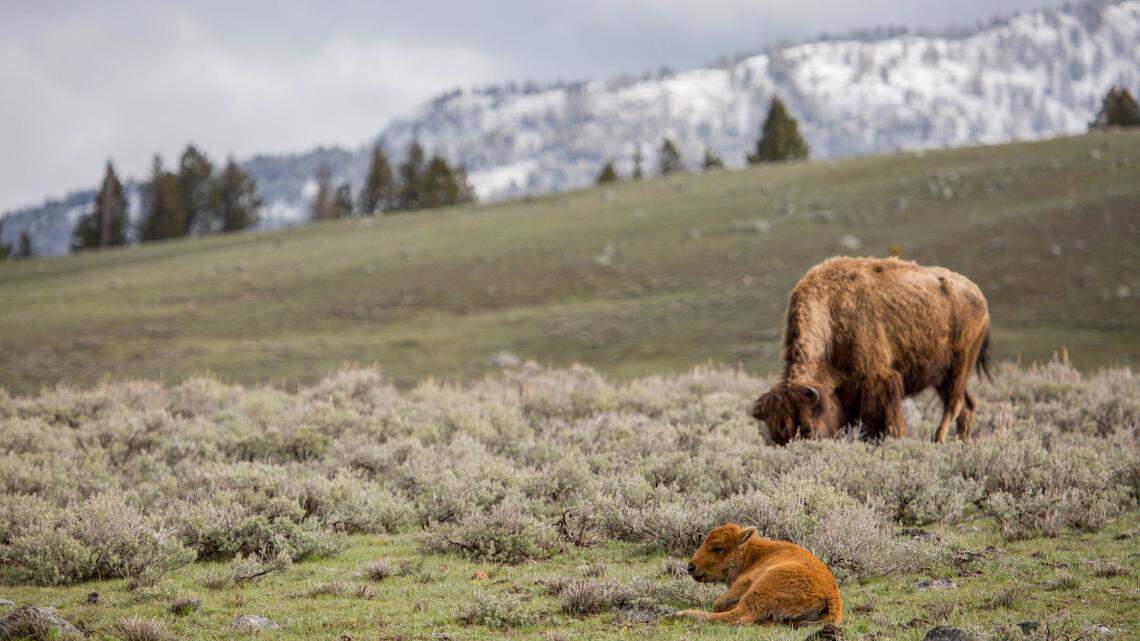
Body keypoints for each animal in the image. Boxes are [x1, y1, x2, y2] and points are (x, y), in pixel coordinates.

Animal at [751, 256, 992, 444]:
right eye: (775, 435)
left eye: (808, 428)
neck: (830, 315)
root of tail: (978, 294)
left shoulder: (879, 380)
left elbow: (886, 419)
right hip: (942, 376)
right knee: (967, 405)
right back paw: (961, 442)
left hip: (958, 368)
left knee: (955, 404)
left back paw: (938, 440)